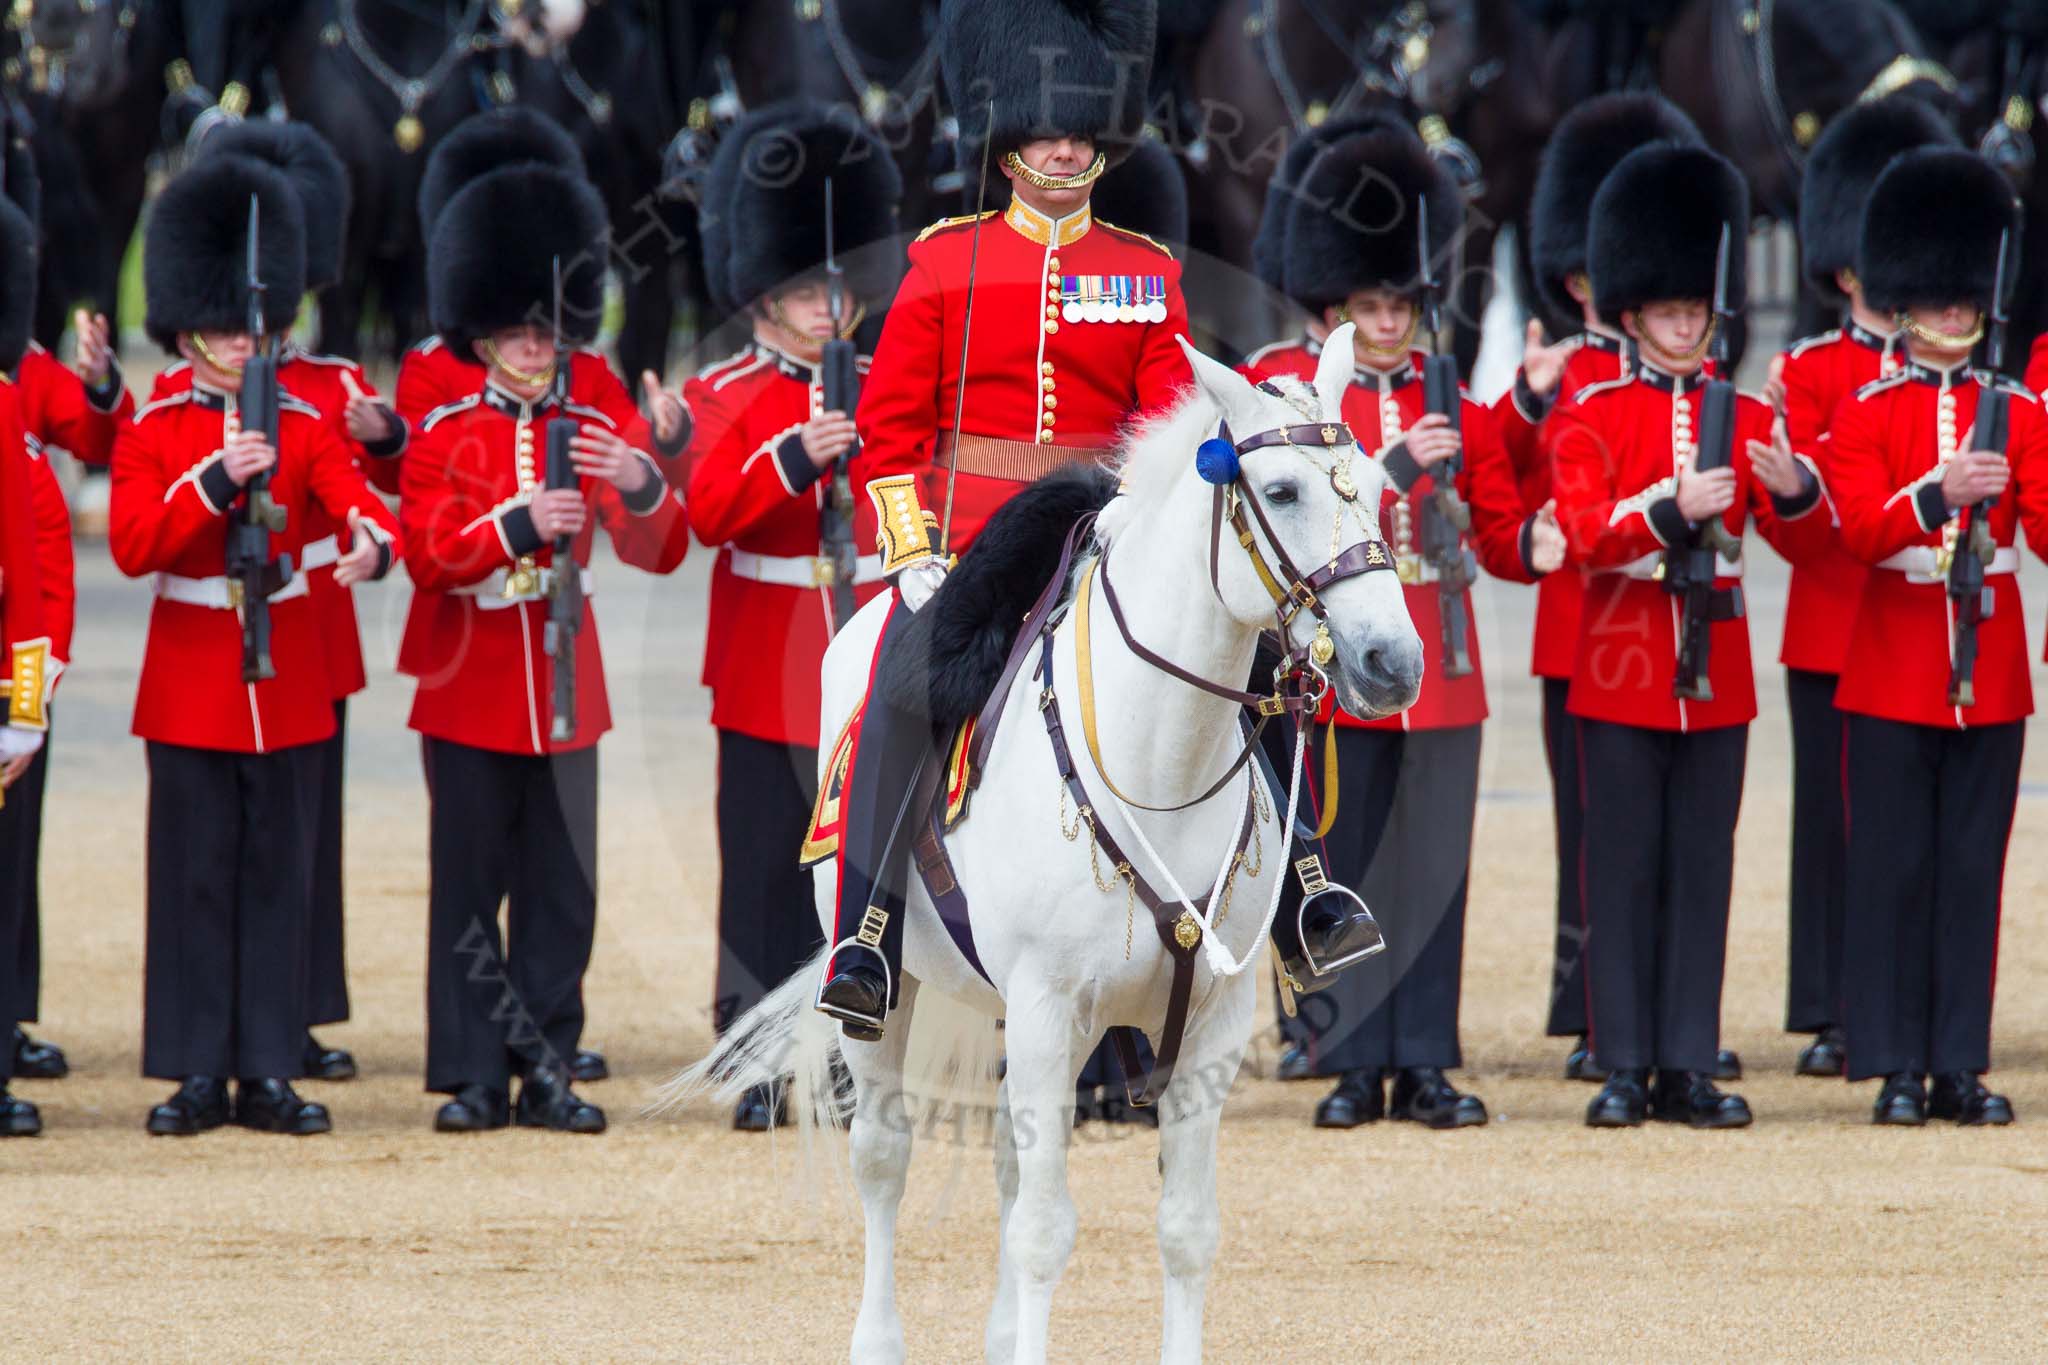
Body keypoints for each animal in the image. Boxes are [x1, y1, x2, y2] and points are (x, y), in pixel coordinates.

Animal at [671, 325, 1425, 1358]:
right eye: (1280, 492)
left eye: (1379, 487)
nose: (1393, 661)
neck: (1160, 765)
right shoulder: (1044, 1007)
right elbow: (1040, 1229)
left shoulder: (1209, 1026)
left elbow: (1183, 1229)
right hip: (894, 997)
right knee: (885, 1156)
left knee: (1000, 1158)